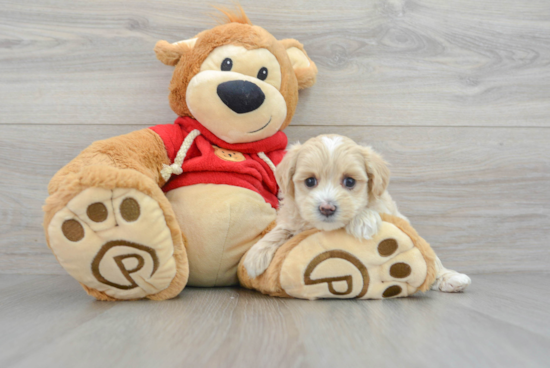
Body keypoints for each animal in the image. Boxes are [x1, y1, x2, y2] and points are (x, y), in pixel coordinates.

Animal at [244, 134, 472, 292]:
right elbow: (280, 230)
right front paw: (254, 256)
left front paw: (363, 222)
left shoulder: (384, 207)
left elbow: (369, 210)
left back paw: (450, 278)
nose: (327, 208)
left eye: (349, 181)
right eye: (310, 181)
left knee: (434, 261)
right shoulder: (293, 217)